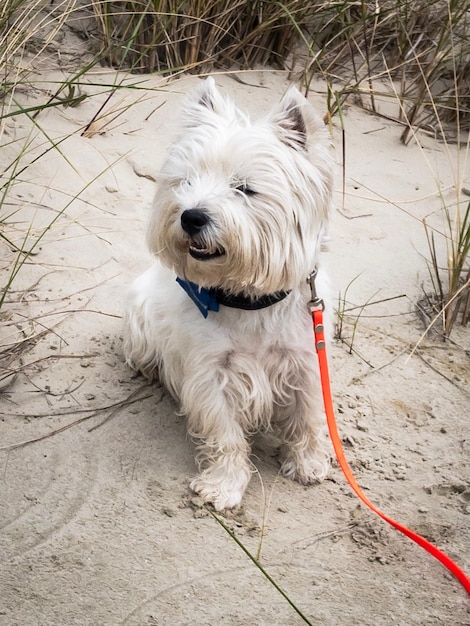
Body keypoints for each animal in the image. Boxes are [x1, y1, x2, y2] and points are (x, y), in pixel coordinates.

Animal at [122, 77, 334, 508]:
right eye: (186, 181)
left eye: (245, 189)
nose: (190, 216)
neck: (248, 299)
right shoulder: (212, 374)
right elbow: (225, 435)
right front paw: (223, 485)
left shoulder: (306, 362)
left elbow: (307, 415)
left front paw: (307, 464)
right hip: (140, 319)